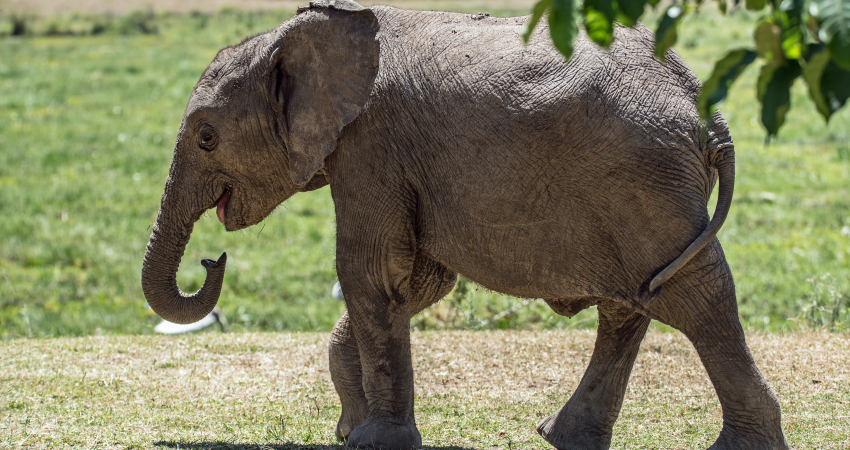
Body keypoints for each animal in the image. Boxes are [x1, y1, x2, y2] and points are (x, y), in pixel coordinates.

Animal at [137, 1, 780, 448]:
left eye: (206, 137)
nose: (212, 260)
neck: (297, 35)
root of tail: (705, 109)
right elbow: (418, 281)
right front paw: (351, 429)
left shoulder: (372, 146)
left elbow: (372, 271)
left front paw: (373, 440)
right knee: (634, 302)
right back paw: (563, 438)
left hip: (644, 180)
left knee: (694, 297)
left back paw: (739, 446)